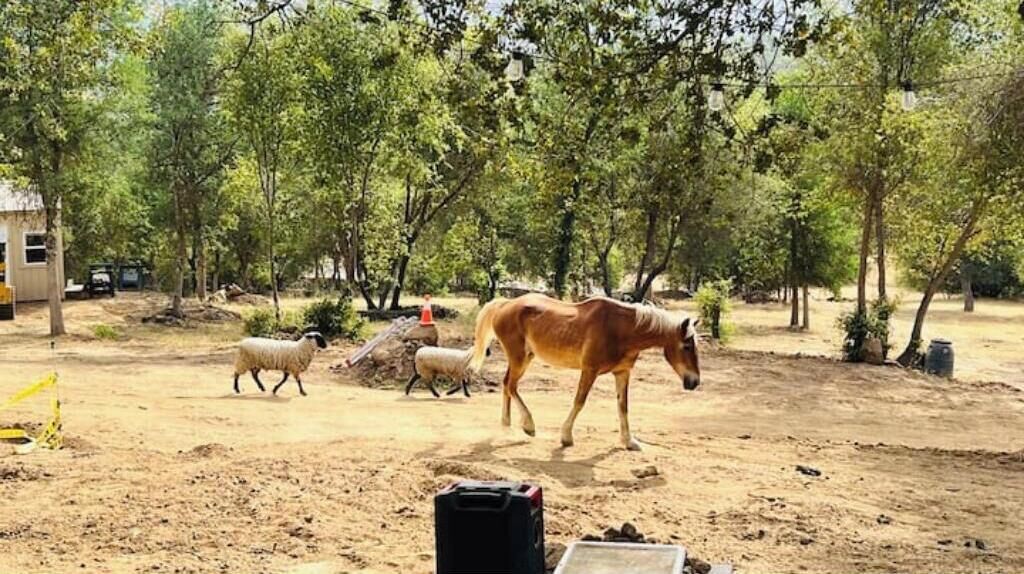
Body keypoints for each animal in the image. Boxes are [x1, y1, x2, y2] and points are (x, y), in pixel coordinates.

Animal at [469, 293, 701, 451]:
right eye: (687, 346)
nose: (695, 382)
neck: (621, 329)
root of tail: (505, 304)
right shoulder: (589, 370)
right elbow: (579, 401)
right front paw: (566, 437)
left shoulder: (623, 373)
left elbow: (623, 407)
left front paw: (629, 441)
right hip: (519, 358)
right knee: (511, 386)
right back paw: (528, 425)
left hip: (524, 358)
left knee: (507, 385)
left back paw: (506, 426)